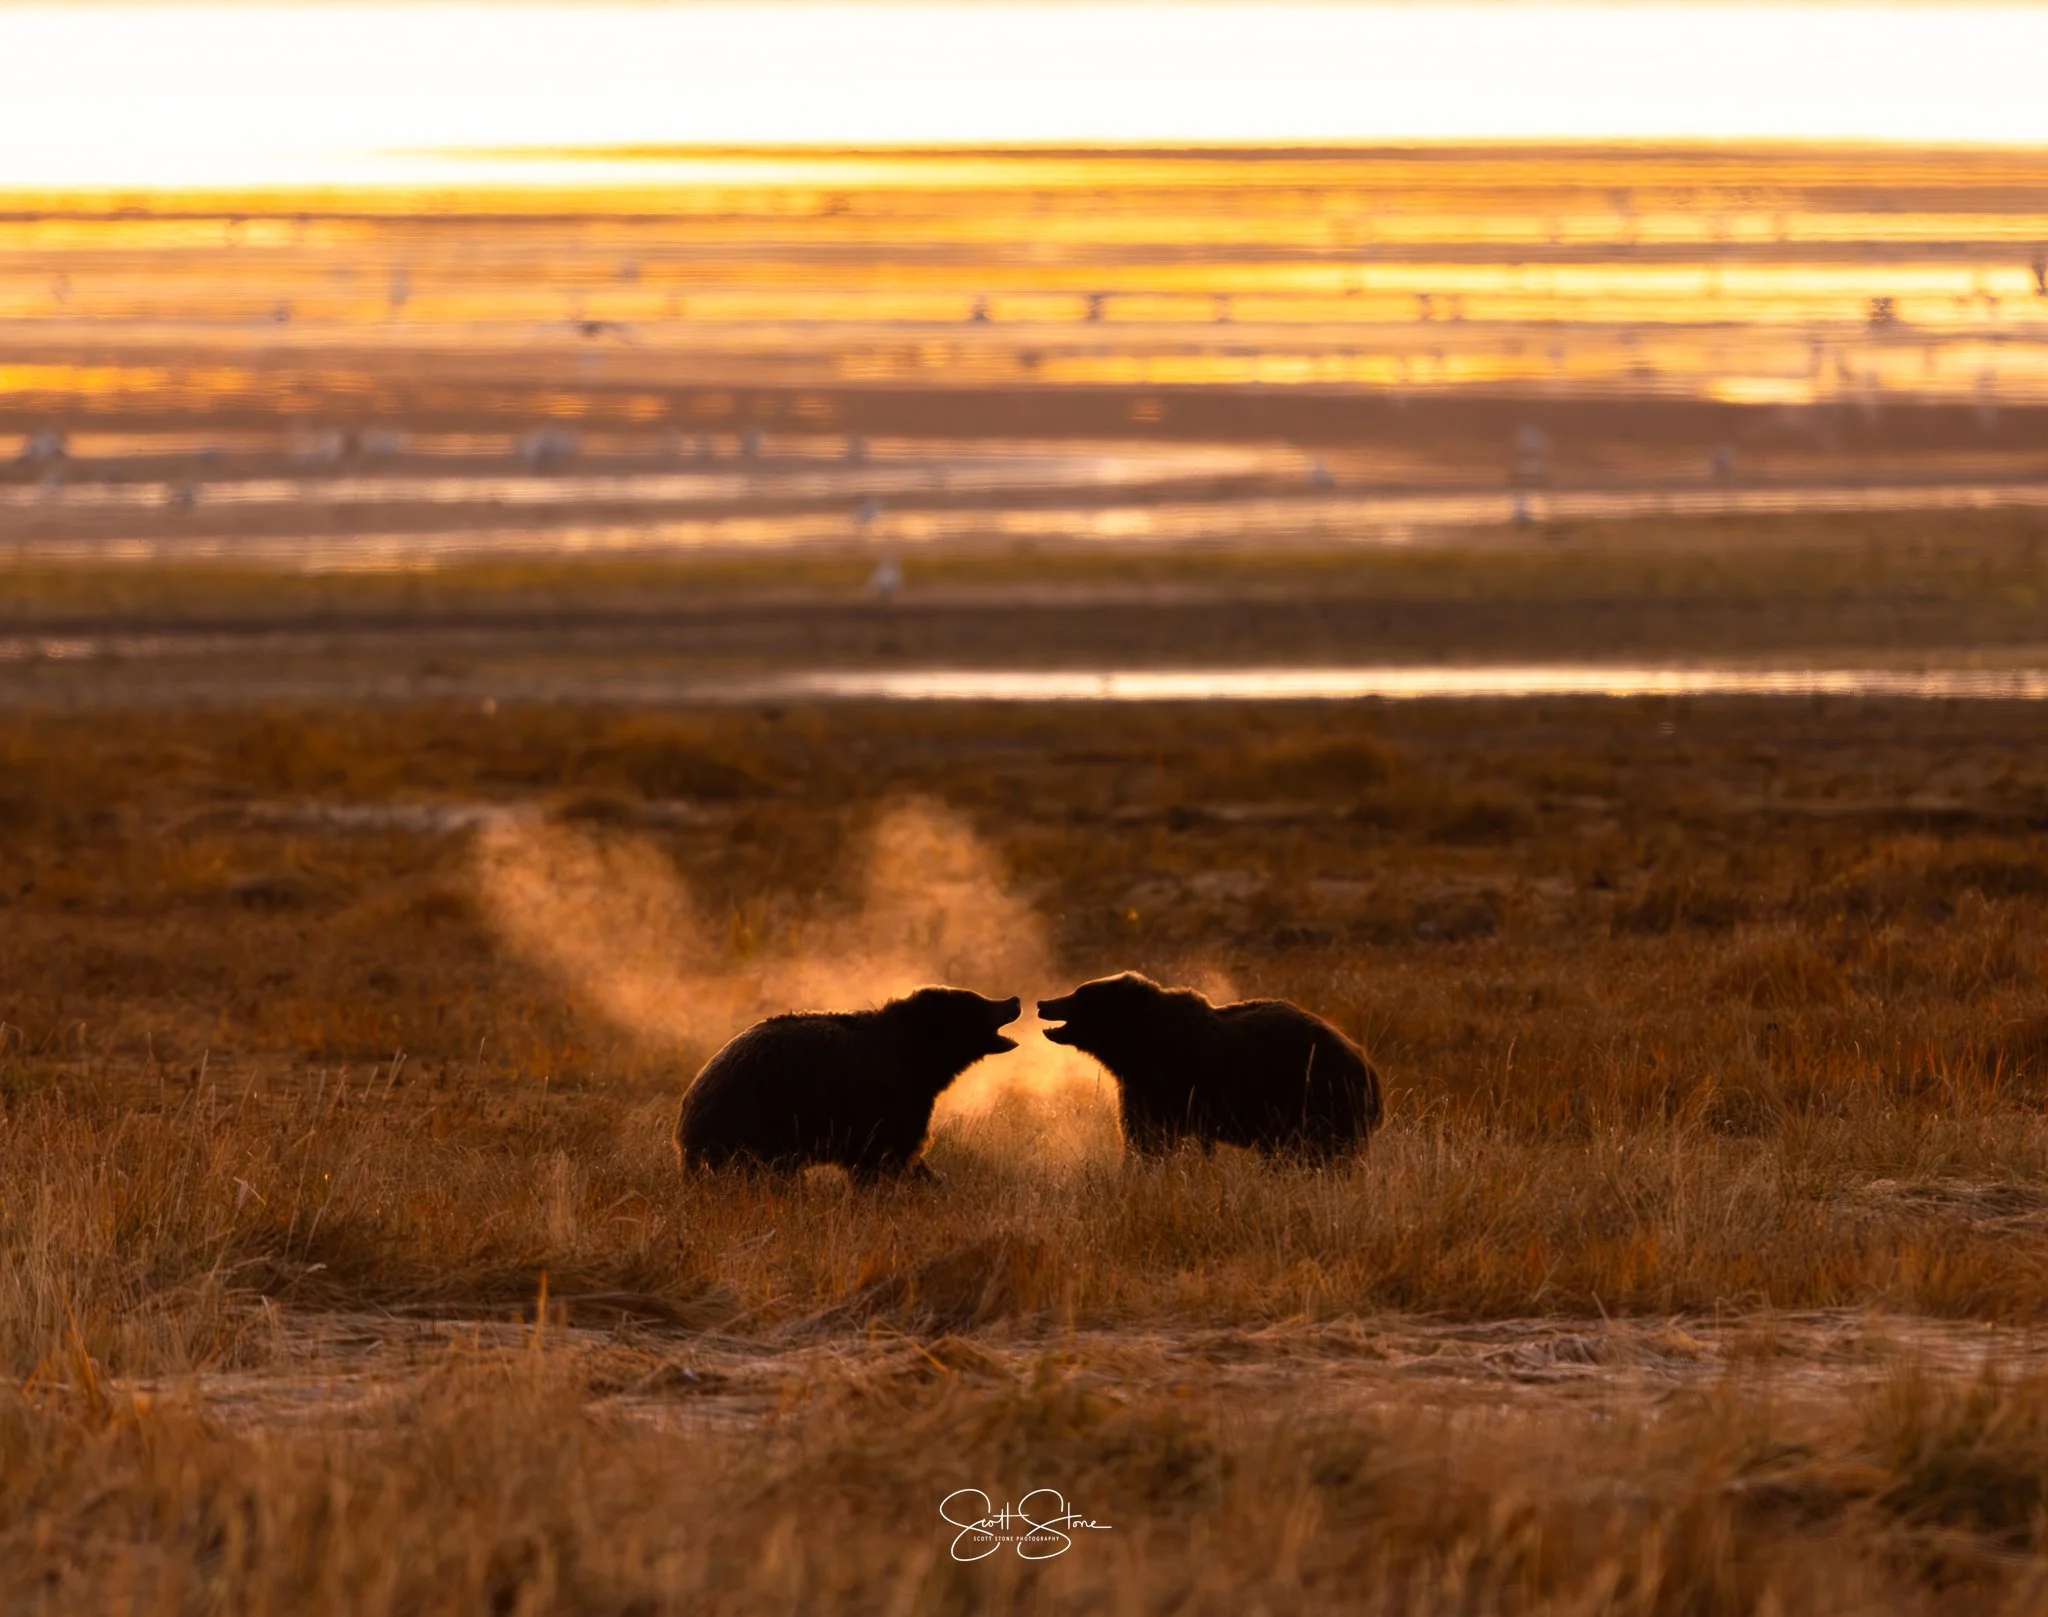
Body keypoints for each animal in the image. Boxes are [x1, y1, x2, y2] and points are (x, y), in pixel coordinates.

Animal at [674, 986, 1020, 1178]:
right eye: (979, 1001)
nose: (1014, 1000)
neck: (922, 1058)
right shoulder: (885, 1098)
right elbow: (888, 1155)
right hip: (755, 1123)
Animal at [1038, 973, 1381, 1159]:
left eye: (1080, 993)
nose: (1043, 1003)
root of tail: (1369, 1067)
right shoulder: (1139, 1088)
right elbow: (1140, 1133)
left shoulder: (1178, 1084)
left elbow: (1160, 1138)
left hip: (1317, 1099)